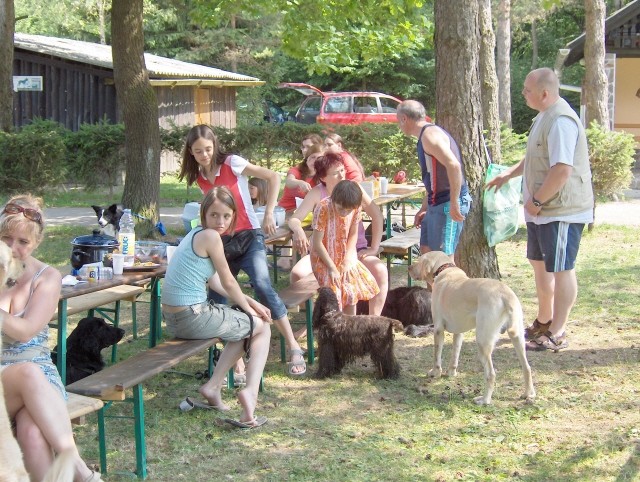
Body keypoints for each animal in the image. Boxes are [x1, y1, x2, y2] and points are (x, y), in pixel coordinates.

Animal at [410, 250, 536, 404]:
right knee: (527, 368)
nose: (409, 267)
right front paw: (451, 373)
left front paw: (435, 373)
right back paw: (528, 394)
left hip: (483, 342)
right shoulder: (459, 333)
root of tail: (504, 294)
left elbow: (437, 356)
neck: (445, 270)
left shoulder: (438, 329)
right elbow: (455, 355)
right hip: (518, 339)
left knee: (491, 374)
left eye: (419, 259)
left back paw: (484, 400)